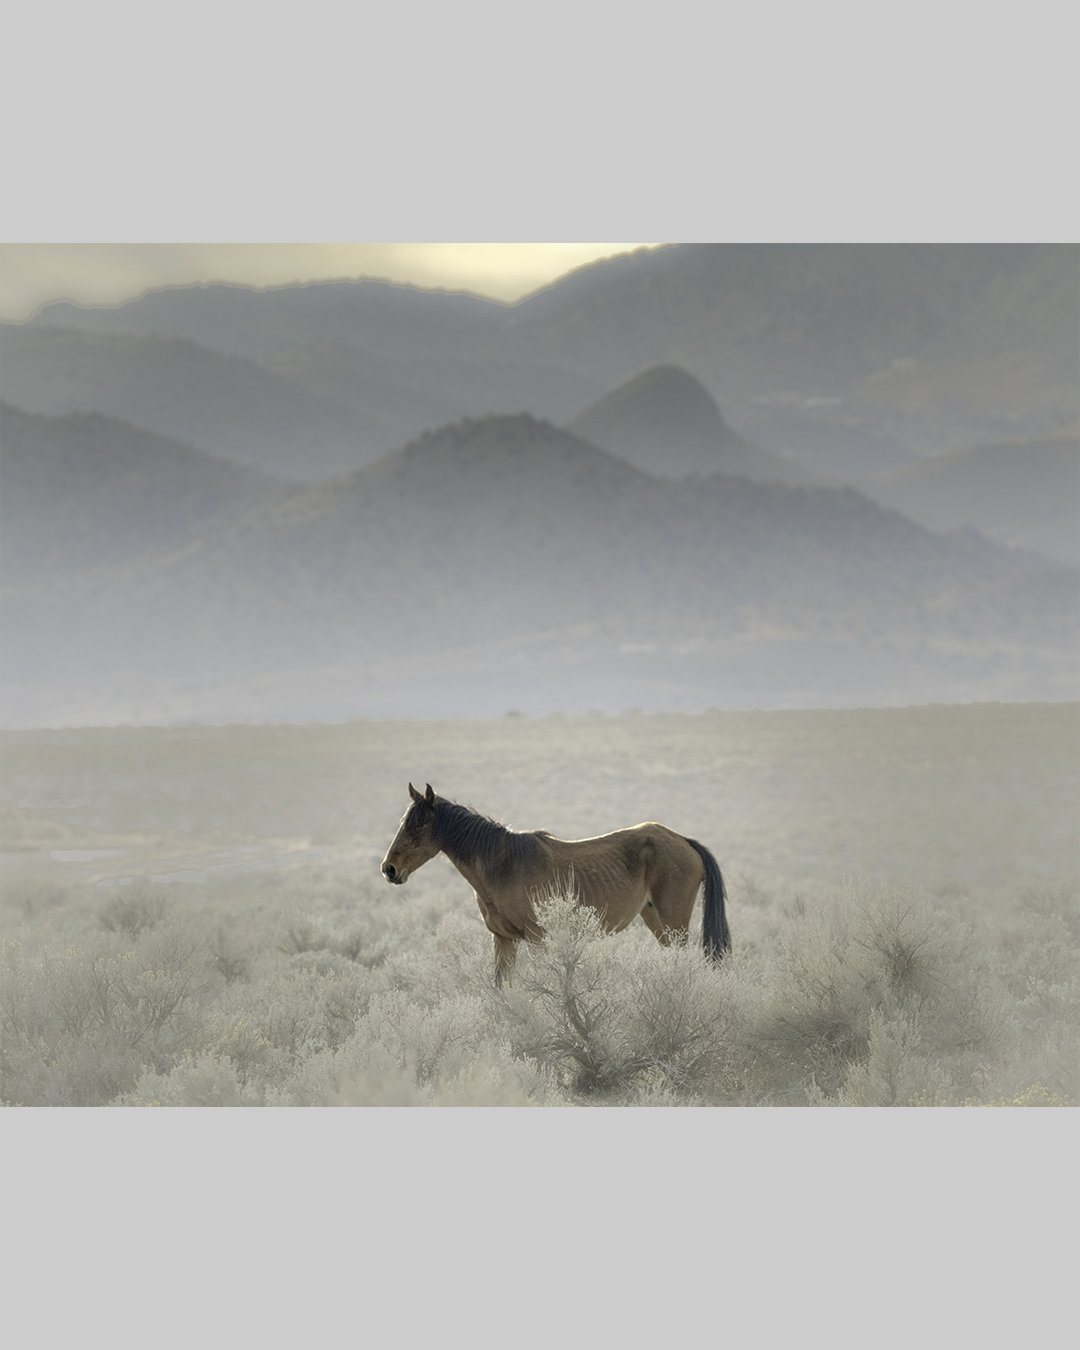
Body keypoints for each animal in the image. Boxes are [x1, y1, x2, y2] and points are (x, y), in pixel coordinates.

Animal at [380, 782, 731, 987]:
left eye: (419, 825)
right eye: (403, 822)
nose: (389, 869)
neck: (503, 863)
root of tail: (684, 841)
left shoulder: (536, 938)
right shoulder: (503, 940)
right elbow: (502, 989)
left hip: (674, 921)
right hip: (655, 919)